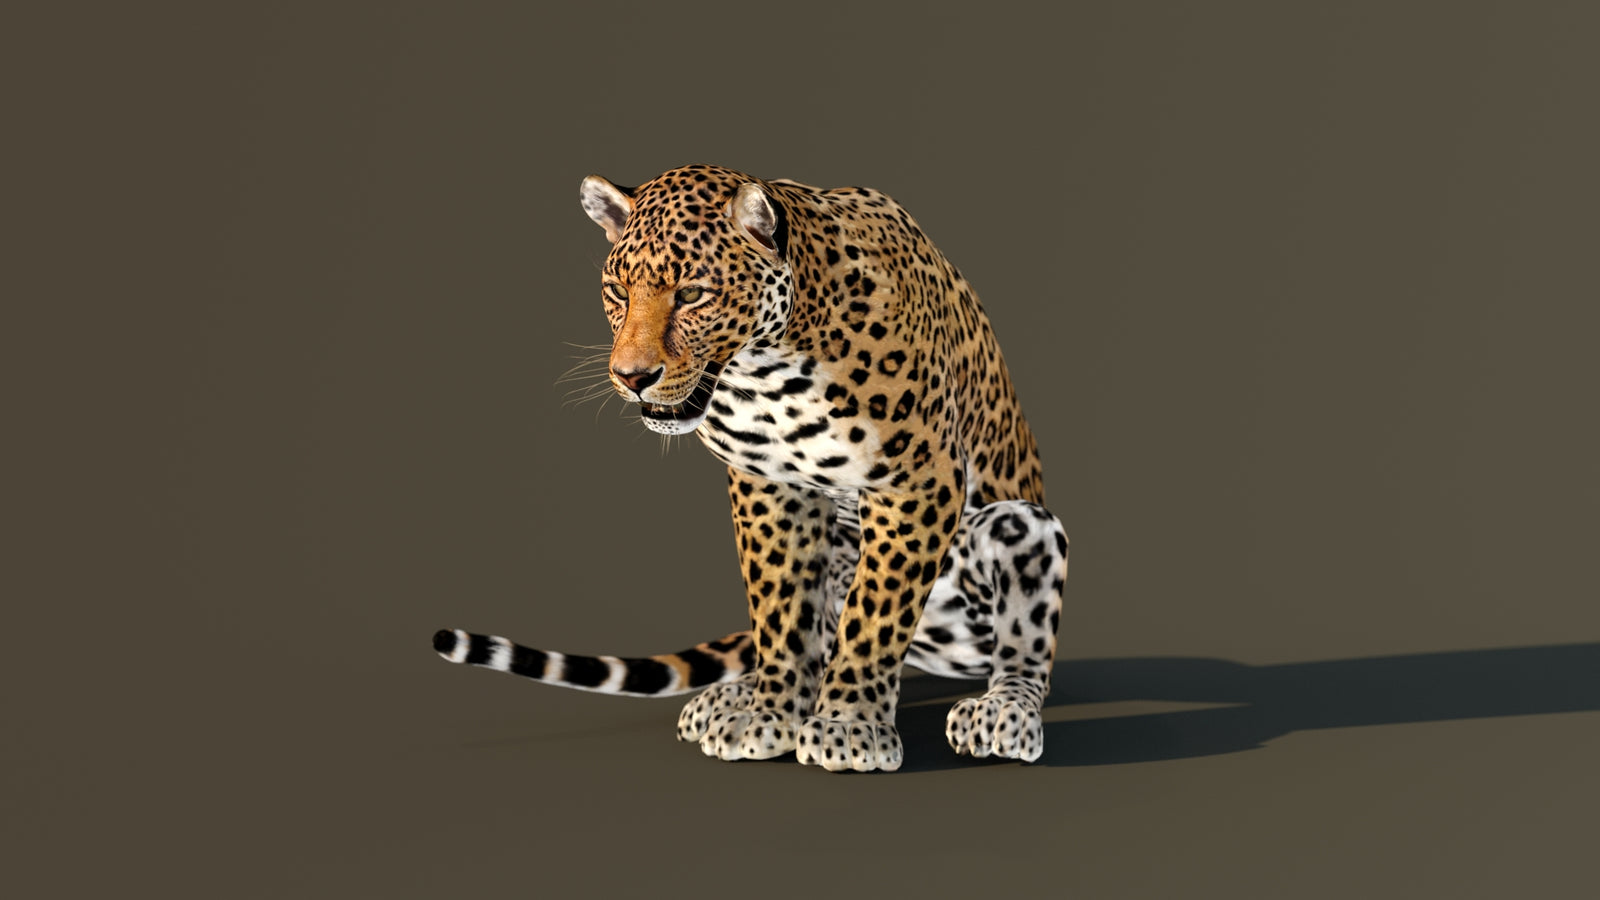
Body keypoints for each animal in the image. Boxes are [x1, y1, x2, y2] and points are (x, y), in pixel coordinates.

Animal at [435, 164, 1068, 772]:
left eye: (692, 293)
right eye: (617, 290)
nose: (631, 376)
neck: (770, 371)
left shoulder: (917, 481)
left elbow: (874, 614)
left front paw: (848, 726)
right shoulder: (770, 486)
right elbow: (780, 610)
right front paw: (771, 713)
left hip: (1022, 527)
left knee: (1022, 649)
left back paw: (1002, 712)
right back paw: (730, 698)